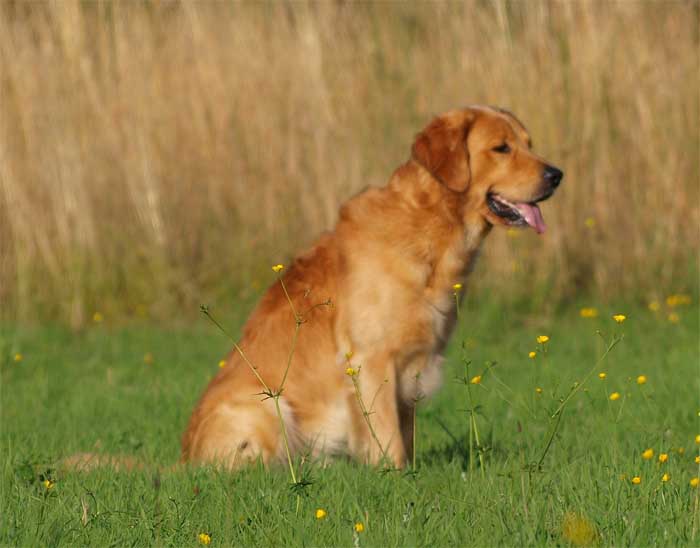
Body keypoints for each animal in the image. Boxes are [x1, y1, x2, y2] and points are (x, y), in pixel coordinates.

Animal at [181, 105, 563, 468]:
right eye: (501, 148)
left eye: (529, 144)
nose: (557, 175)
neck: (429, 226)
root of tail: (183, 460)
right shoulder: (373, 360)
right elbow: (388, 439)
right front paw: (396, 475)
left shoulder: (411, 368)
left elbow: (405, 435)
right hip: (267, 408)